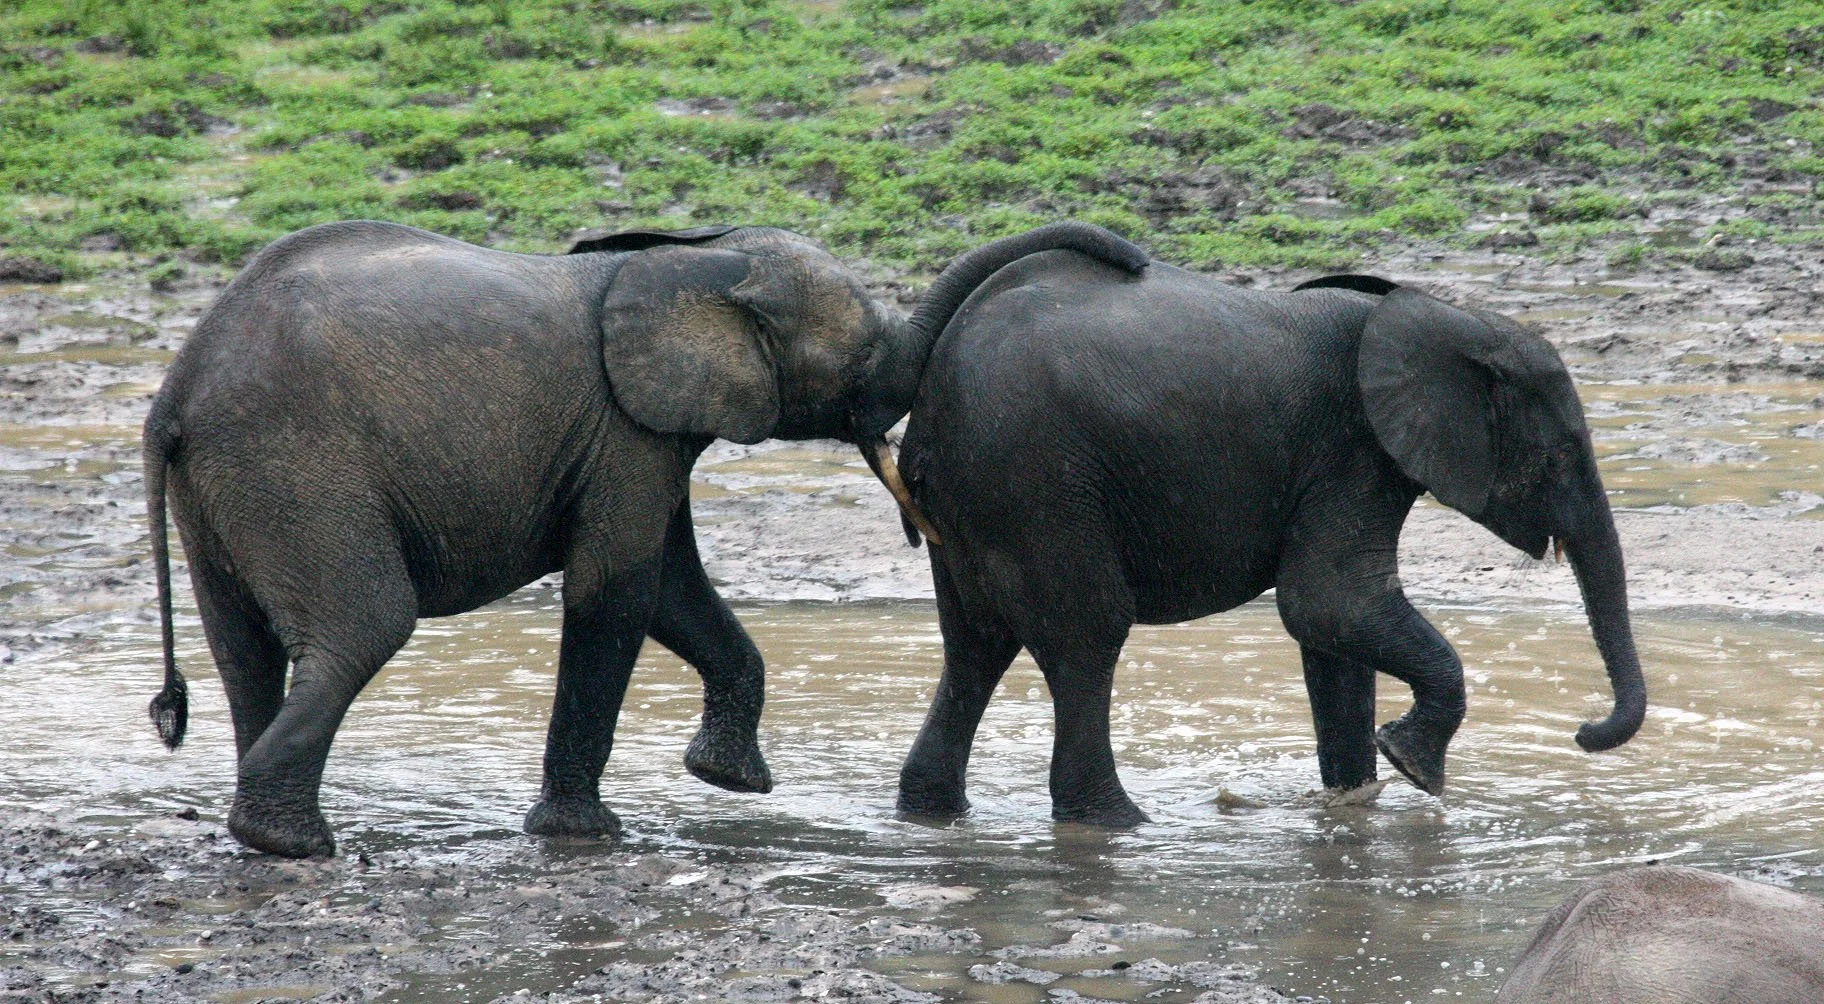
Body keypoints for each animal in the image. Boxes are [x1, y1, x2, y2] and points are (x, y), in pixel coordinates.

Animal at [142, 218, 1148, 857]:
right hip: (295, 465)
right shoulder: (624, 432)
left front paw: (728, 784)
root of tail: (174, 394)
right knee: (364, 625)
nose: (1132, 259)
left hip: (229, 486)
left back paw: (264, 826)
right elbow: (617, 590)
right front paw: (585, 839)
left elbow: (671, 588)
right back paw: (288, 842)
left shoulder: (651, 432)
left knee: (243, 645)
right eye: (861, 355)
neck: (694, 263)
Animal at [868, 254, 1646, 826]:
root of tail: (931, 402)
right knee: (1087, 637)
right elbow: (1328, 602)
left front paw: (1352, 806)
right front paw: (1413, 769)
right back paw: (1119, 825)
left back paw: (932, 814)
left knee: (975, 645)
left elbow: (1332, 637)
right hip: (1039, 483)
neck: (1447, 316)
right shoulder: (1353, 450)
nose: (1584, 733)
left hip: (979, 504)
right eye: (1564, 452)